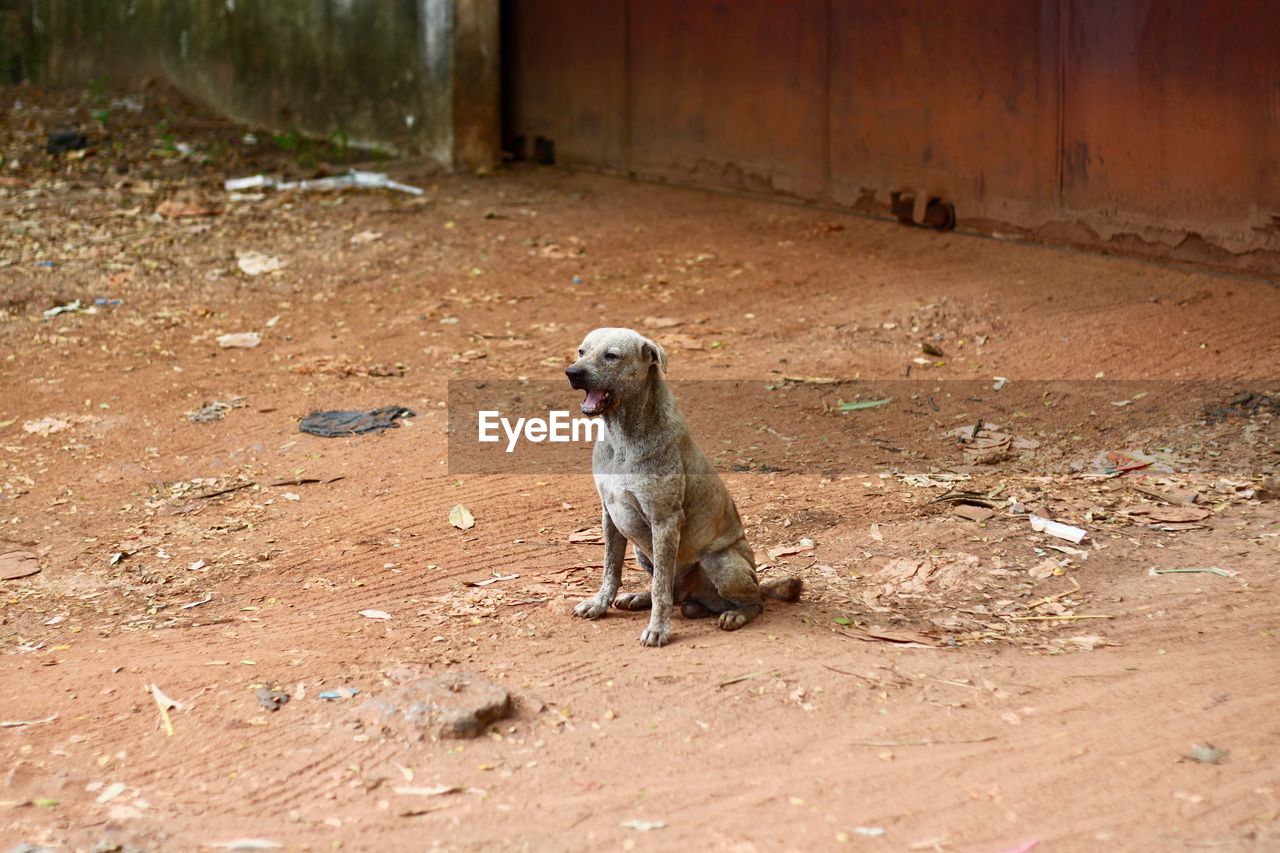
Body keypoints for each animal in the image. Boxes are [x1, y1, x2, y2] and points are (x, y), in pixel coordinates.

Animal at [563, 325, 793, 645]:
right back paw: (641, 598)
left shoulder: (664, 522)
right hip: (641, 550)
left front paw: (658, 629)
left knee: (752, 602)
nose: (571, 373)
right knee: (671, 591)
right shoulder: (610, 515)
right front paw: (600, 604)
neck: (622, 436)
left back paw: (734, 614)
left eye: (611, 356)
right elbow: (611, 569)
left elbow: (660, 588)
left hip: (720, 562)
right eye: (581, 351)